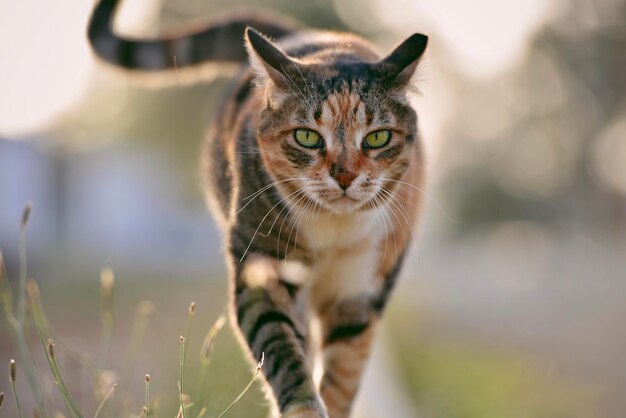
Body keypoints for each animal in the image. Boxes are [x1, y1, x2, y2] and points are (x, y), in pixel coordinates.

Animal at [88, 1, 426, 416]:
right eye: (307, 137)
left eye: (377, 138)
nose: (344, 176)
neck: (332, 229)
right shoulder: (262, 269)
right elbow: (281, 347)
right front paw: (304, 408)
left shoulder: (359, 291)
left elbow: (342, 376)